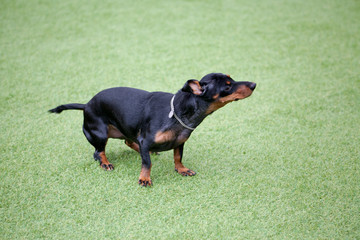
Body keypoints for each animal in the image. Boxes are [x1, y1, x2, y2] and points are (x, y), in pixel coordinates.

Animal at [49, 72, 256, 187]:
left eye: (231, 79)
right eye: (227, 87)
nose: (254, 84)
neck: (177, 112)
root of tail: (87, 105)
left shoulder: (180, 142)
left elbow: (177, 157)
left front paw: (181, 169)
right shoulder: (146, 139)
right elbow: (146, 164)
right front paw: (144, 179)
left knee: (129, 141)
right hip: (100, 134)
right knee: (98, 152)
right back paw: (106, 162)